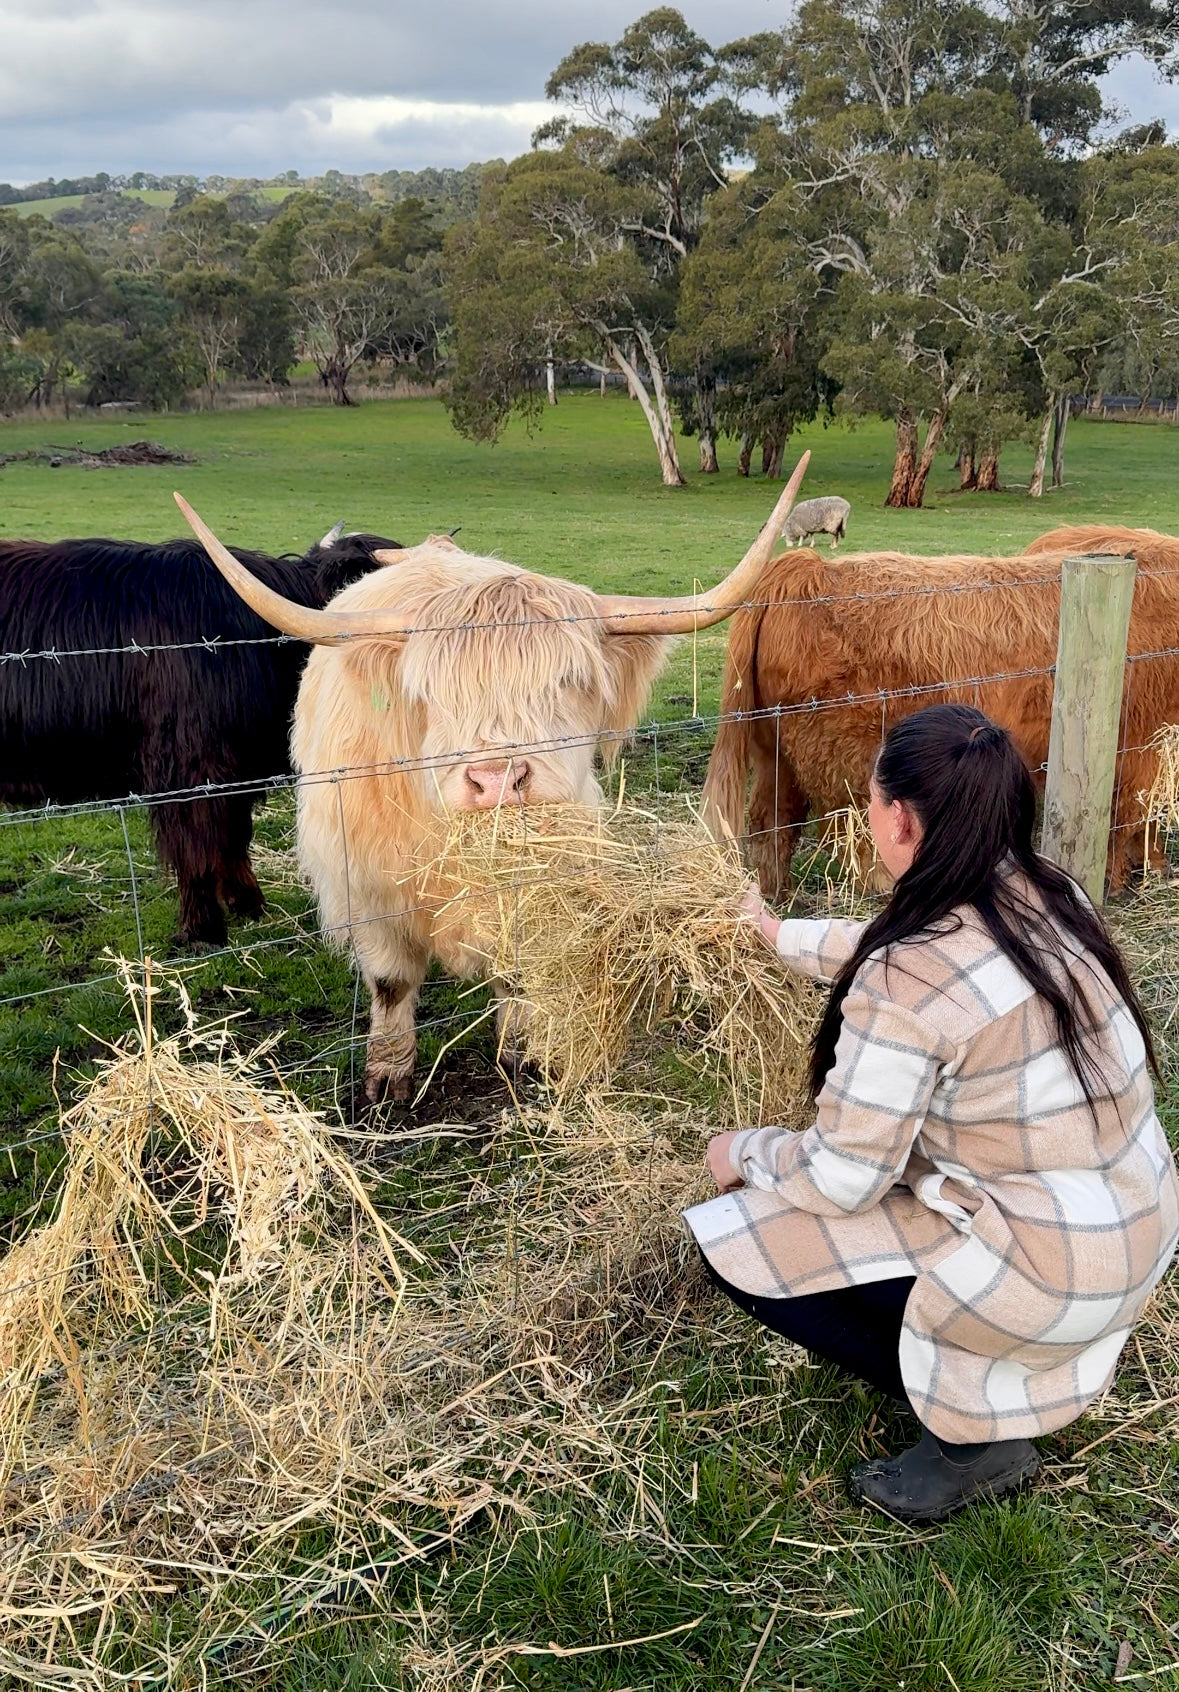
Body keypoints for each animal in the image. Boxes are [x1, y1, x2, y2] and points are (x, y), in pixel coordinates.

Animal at [0, 527, 400, 947]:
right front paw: (202, 929)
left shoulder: (236, 770)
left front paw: (248, 902)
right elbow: (196, 847)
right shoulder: (189, 766)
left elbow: (234, 834)